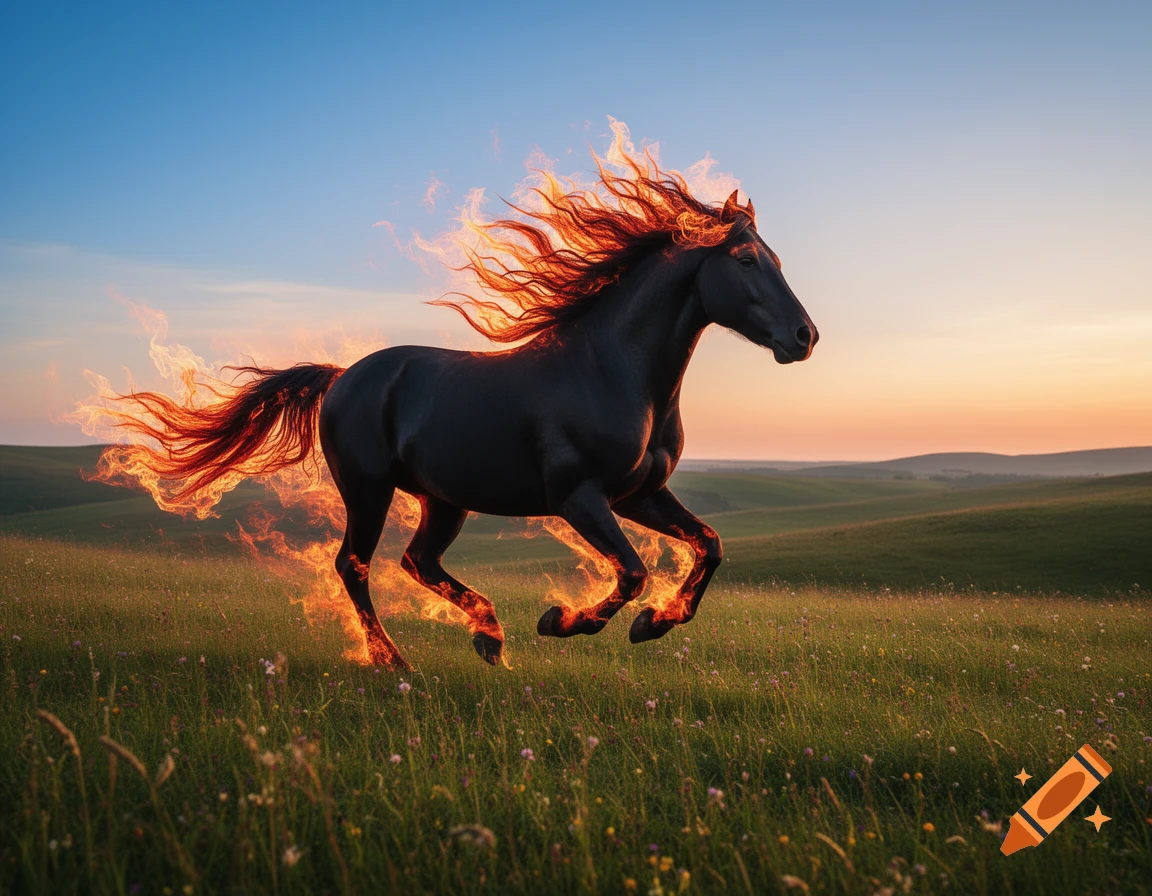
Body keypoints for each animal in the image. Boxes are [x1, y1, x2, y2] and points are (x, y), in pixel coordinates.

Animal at [94, 153, 818, 671]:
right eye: (747, 260)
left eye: (779, 259)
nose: (805, 337)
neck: (615, 371)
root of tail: (342, 377)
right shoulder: (579, 496)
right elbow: (634, 571)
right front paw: (564, 621)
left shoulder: (640, 493)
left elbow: (709, 545)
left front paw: (651, 626)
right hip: (369, 489)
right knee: (355, 565)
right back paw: (396, 660)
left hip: (444, 500)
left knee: (417, 561)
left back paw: (488, 635)